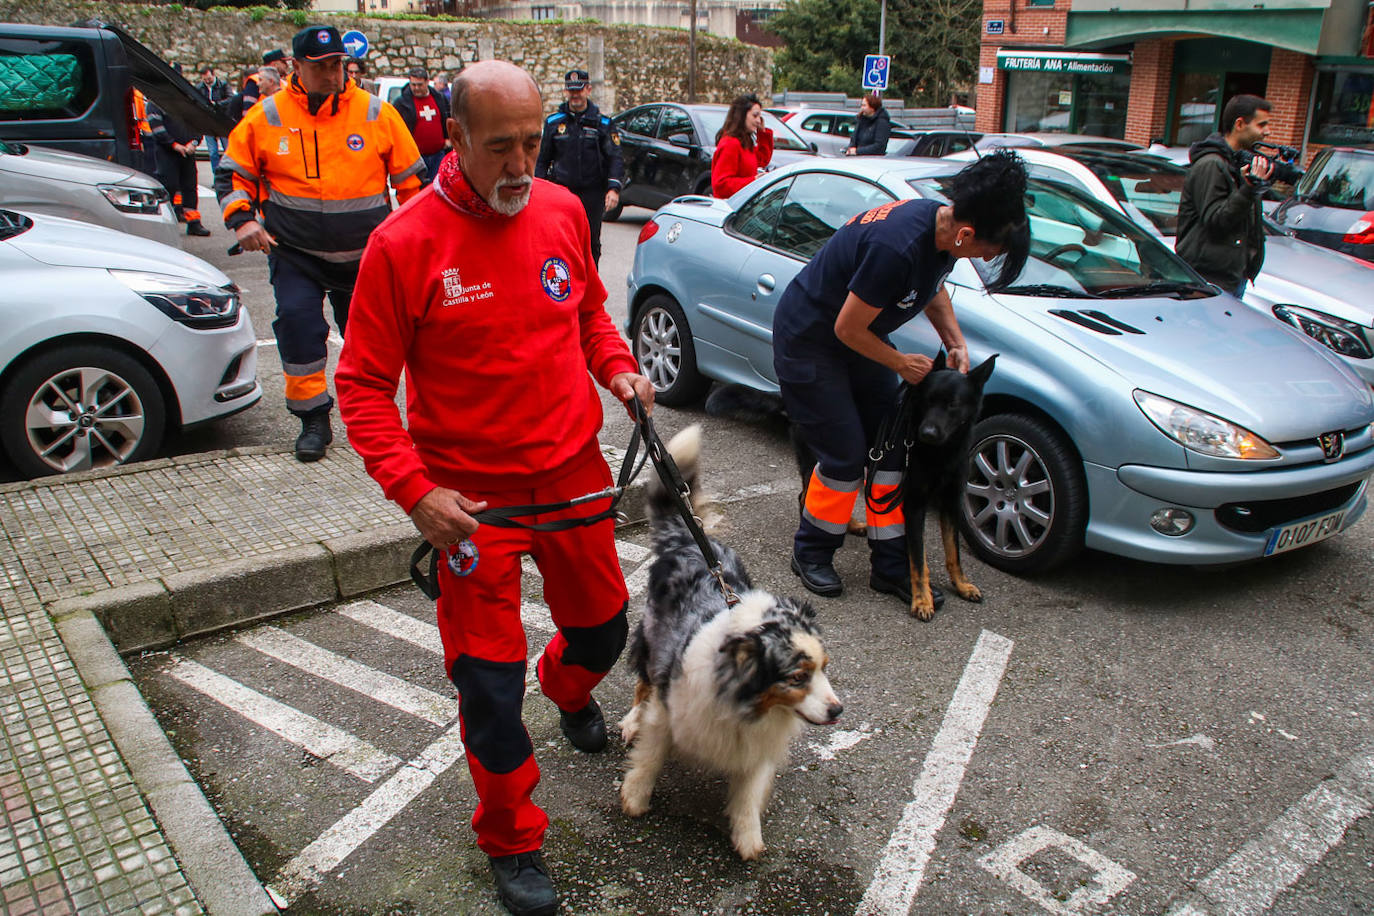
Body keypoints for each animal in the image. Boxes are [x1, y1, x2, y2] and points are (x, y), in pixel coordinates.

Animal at [868, 351, 1000, 623]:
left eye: (953, 404)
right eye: (928, 400)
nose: (927, 433)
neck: (941, 454)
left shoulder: (951, 503)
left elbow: (954, 552)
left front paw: (961, 584)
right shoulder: (914, 505)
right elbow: (918, 560)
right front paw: (922, 599)